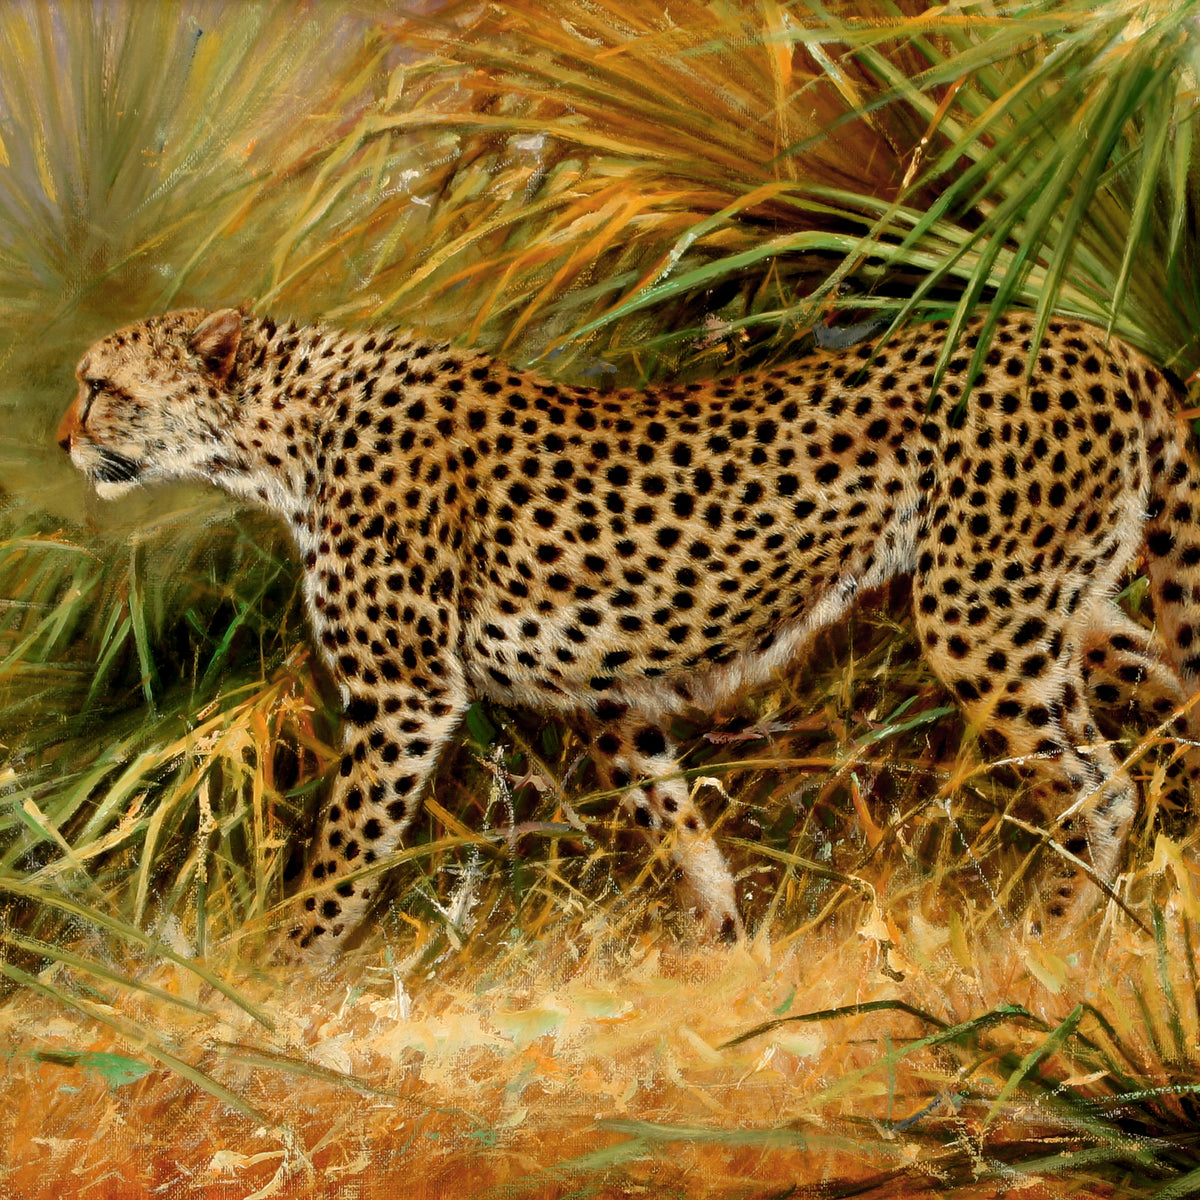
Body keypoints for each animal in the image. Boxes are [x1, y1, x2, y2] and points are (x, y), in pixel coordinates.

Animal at [57, 304, 1200, 957]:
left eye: (100, 386)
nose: (62, 439)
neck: (282, 434)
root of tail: (1100, 342)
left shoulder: (403, 699)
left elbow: (340, 856)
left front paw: (278, 982)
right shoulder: (609, 697)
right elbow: (679, 828)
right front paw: (727, 952)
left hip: (981, 615)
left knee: (1097, 787)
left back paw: (1052, 944)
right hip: (1069, 609)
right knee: (1175, 713)